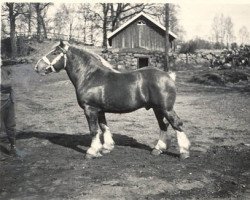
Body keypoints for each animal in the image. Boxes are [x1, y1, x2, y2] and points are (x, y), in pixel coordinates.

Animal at [35, 40, 190, 159]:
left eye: (55, 53)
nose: (37, 67)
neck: (89, 76)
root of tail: (169, 76)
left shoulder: (90, 109)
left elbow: (94, 130)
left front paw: (92, 152)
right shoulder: (100, 110)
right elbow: (104, 127)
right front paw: (106, 147)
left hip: (166, 109)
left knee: (176, 124)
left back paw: (183, 152)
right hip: (157, 109)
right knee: (163, 126)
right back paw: (158, 149)